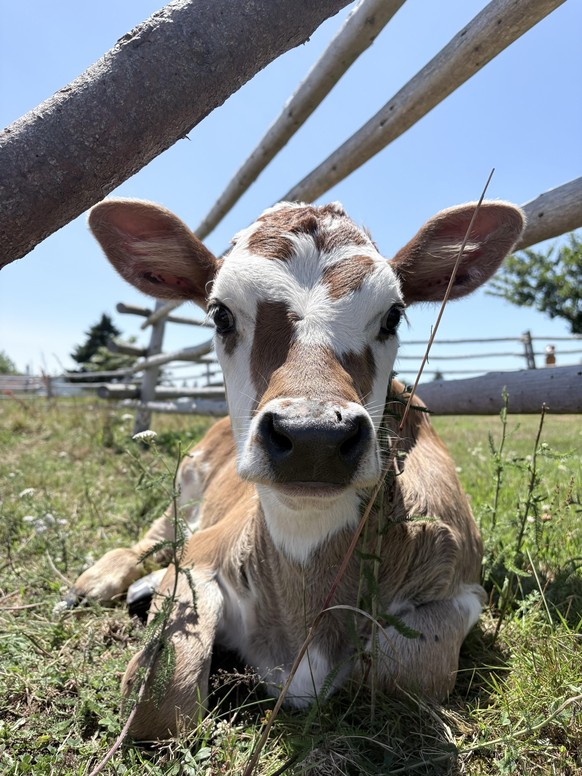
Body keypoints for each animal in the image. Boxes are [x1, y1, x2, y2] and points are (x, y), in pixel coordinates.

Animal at [67, 197, 524, 739]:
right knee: (155, 536)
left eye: (393, 315)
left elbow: (408, 670)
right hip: (188, 482)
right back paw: (101, 578)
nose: (313, 438)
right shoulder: (203, 553)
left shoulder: (463, 586)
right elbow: (162, 699)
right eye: (220, 314)